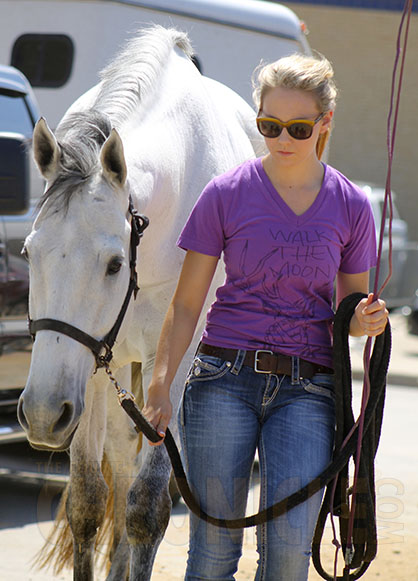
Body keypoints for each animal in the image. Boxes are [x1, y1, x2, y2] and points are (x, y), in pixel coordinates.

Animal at [18, 26, 262, 580]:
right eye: (27, 252)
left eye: (113, 264)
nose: (41, 413)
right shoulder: (86, 367)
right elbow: (88, 502)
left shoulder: (169, 362)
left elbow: (147, 509)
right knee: (121, 468)